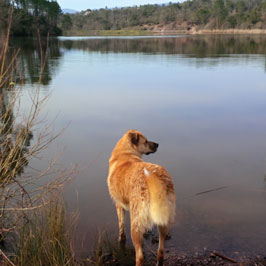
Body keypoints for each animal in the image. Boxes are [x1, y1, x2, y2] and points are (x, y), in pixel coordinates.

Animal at [107, 130, 176, 264]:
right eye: (146, 141)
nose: (158, 144)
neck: (125, 153)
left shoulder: (118, 205)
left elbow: (121, 225)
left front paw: (121, 240)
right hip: (164, 219)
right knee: (161, 251)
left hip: (135, 224)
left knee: (139, 256)